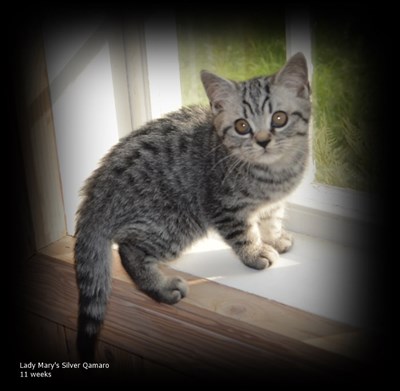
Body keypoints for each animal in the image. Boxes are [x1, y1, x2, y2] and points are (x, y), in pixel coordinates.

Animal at [76, 52, 312, 362]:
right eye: (242, 126)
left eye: (279, 118)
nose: (262, 141)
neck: (273, 173)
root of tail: (96, 190)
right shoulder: (223, 206)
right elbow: (244, 234)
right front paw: (255, 252)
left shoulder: (273, 202)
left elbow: (271, 217)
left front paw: (274, 237)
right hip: (175, 223)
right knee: (128, 249)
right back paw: (161, 288)